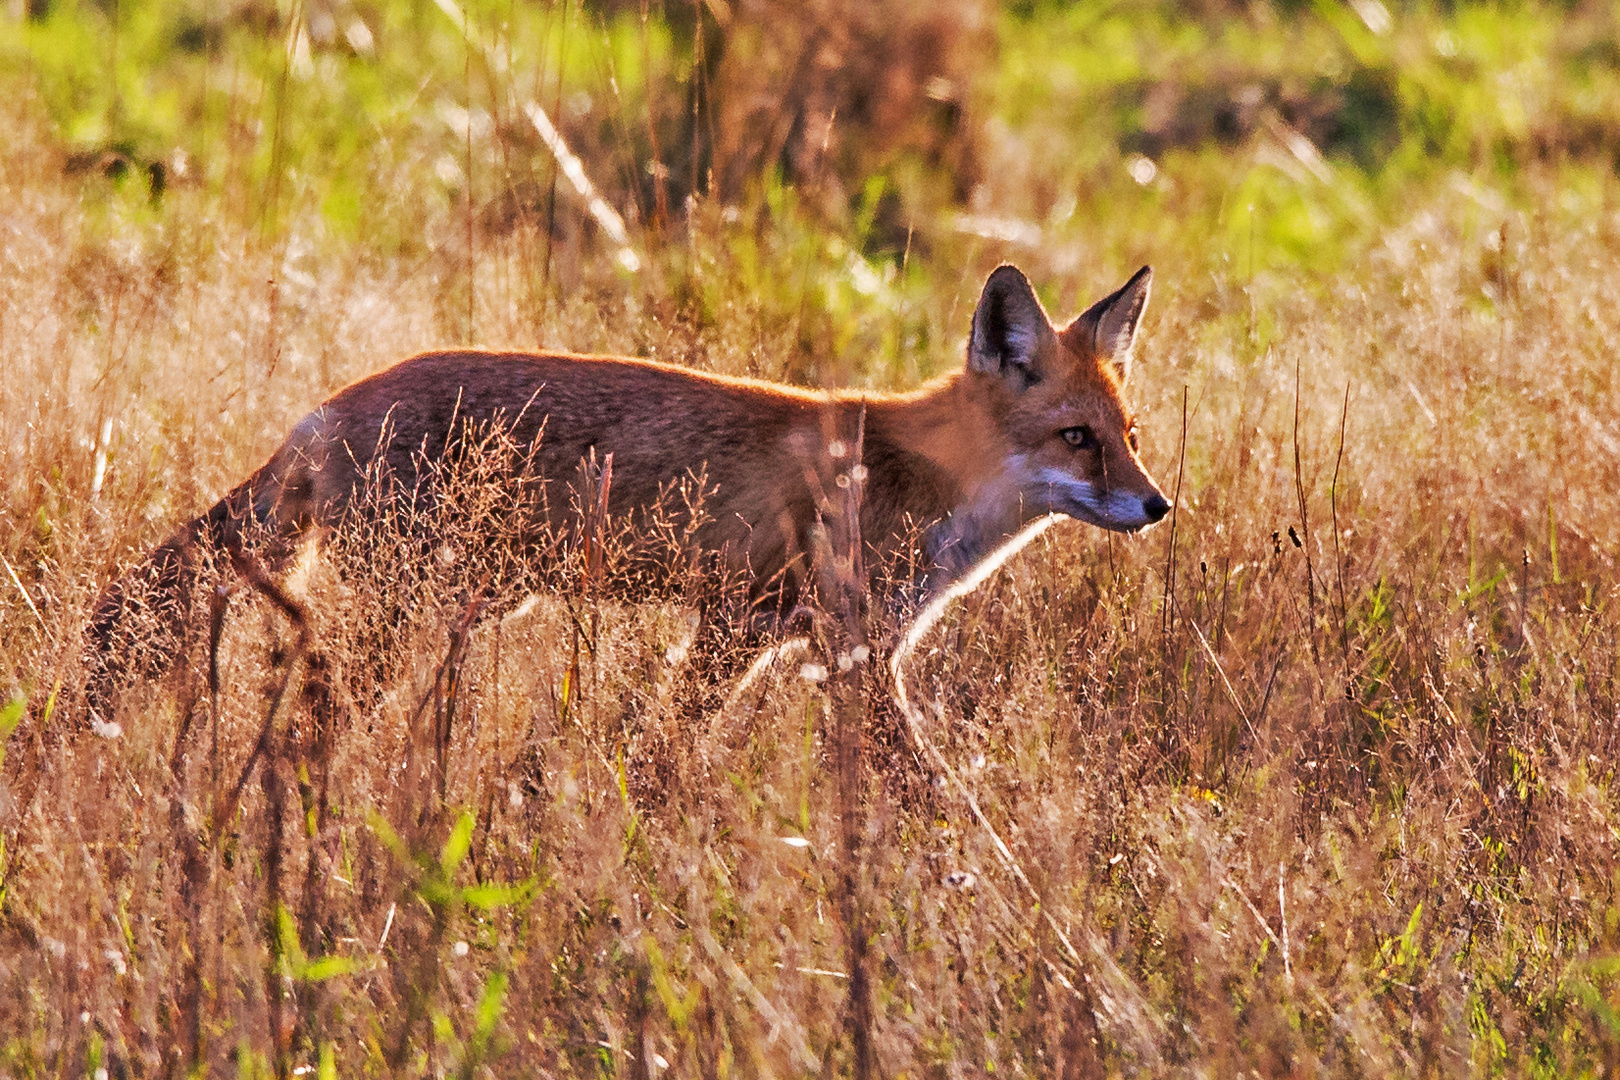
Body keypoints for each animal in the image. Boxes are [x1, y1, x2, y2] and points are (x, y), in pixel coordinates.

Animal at [88, 265, 1172, 705]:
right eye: (1076, 439)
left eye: (1129, 438)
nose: (1159, 507)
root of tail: (329, 406)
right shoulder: (750, 631)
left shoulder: (835, 657)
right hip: (402, 610)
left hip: (471, 600)